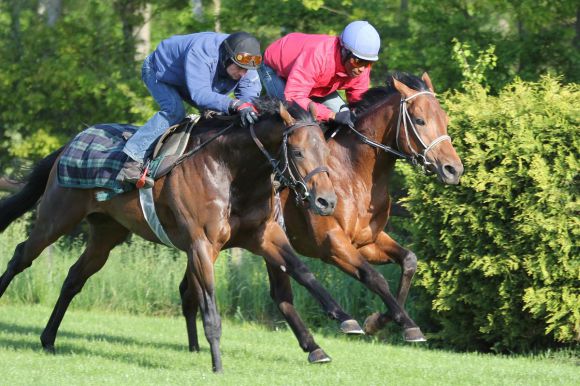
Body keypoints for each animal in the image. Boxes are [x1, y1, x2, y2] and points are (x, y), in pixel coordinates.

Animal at [0, 99, 362, 370]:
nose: (326, 201)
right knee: (21, 256)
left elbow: (303, 271)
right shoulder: (202, 245)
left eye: (325, 152)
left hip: (107, 232)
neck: (232, 171)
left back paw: (48, 338)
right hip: (57, 216)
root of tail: (70, 144)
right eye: (298, 152)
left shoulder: (264, 234)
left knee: (74, 277)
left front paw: (345, 320)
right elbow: (210, 305)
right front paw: (217, 363)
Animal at [179, 74, 464, 346]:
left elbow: (409, 261)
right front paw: (391, 323)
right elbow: (374, 277)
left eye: (445, 119)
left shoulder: (366, 241)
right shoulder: (331, 244)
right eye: (419, 120)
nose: (453, 169)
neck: (354, 172)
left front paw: (384, 322)